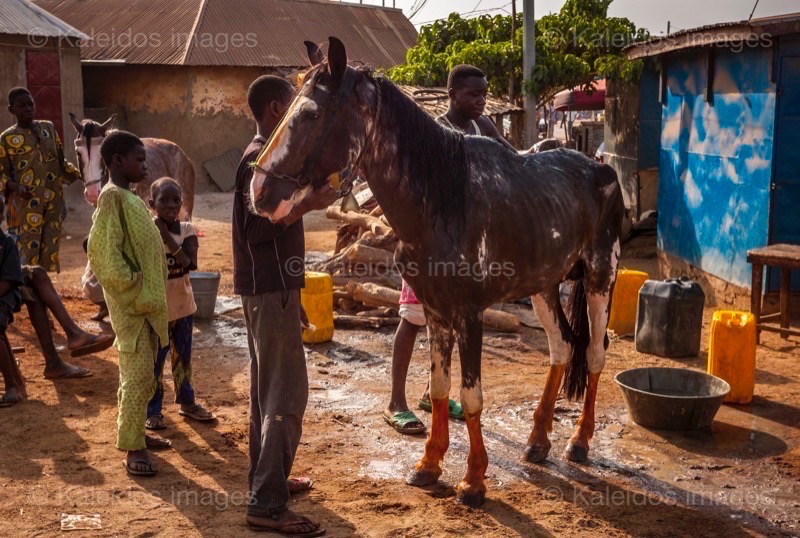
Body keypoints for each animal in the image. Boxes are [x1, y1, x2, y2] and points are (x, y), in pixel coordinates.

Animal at [250, 38, 624, 506]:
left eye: (311, 114)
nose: (259, 192)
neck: (443, 199)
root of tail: (600, 166)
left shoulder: (469, 314)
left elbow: (471, 395)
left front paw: (474, 480)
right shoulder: (434, 310)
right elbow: (441, 387)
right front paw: (429, 464)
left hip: (600, 276)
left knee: (592, 352)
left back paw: (579, 441)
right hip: (544, 285)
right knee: (560, 347)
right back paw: (538, 440)